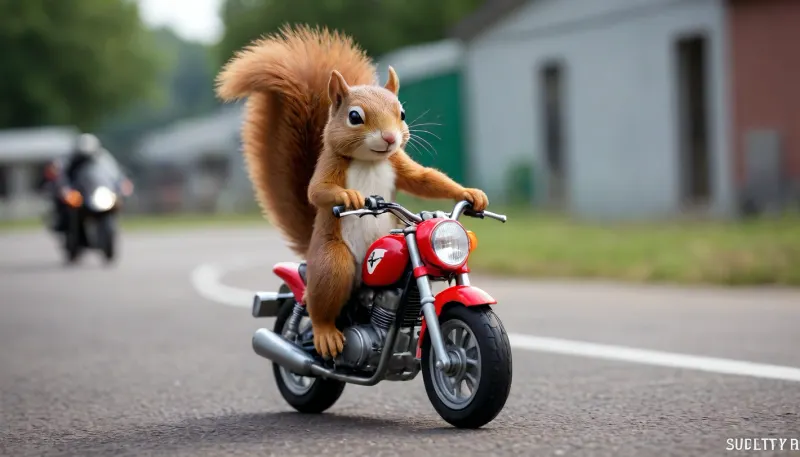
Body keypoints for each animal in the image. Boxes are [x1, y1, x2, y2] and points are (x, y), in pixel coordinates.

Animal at [215, 25, 489, 359]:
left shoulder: (396, 163)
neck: (370, 161)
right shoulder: (331, 163)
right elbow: (317, 191)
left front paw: (472, 194)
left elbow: (423, 179)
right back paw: (323, 337)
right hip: (331, 263)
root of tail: (307, 258)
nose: (390, 138)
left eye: (402, 113)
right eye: (354, 117)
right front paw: (350, 198)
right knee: (309, 312)